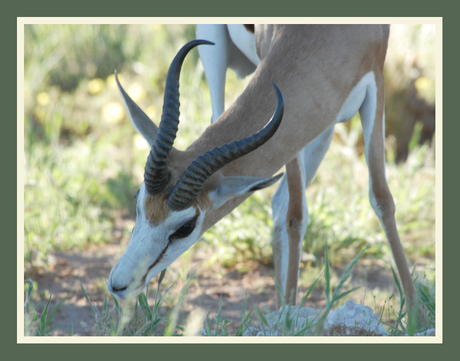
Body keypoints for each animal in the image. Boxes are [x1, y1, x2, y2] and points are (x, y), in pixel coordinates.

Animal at [108, 25, 416, 312]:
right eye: (138, 201)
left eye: (185, 227)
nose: (117, 284)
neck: (326, 32)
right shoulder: (292, 127)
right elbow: (296, 216)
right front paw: (290, 319)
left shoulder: (373, 84)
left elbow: (382, 199)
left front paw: (416, 316)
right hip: (214, 50)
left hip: (323, 127)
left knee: (279, 201)